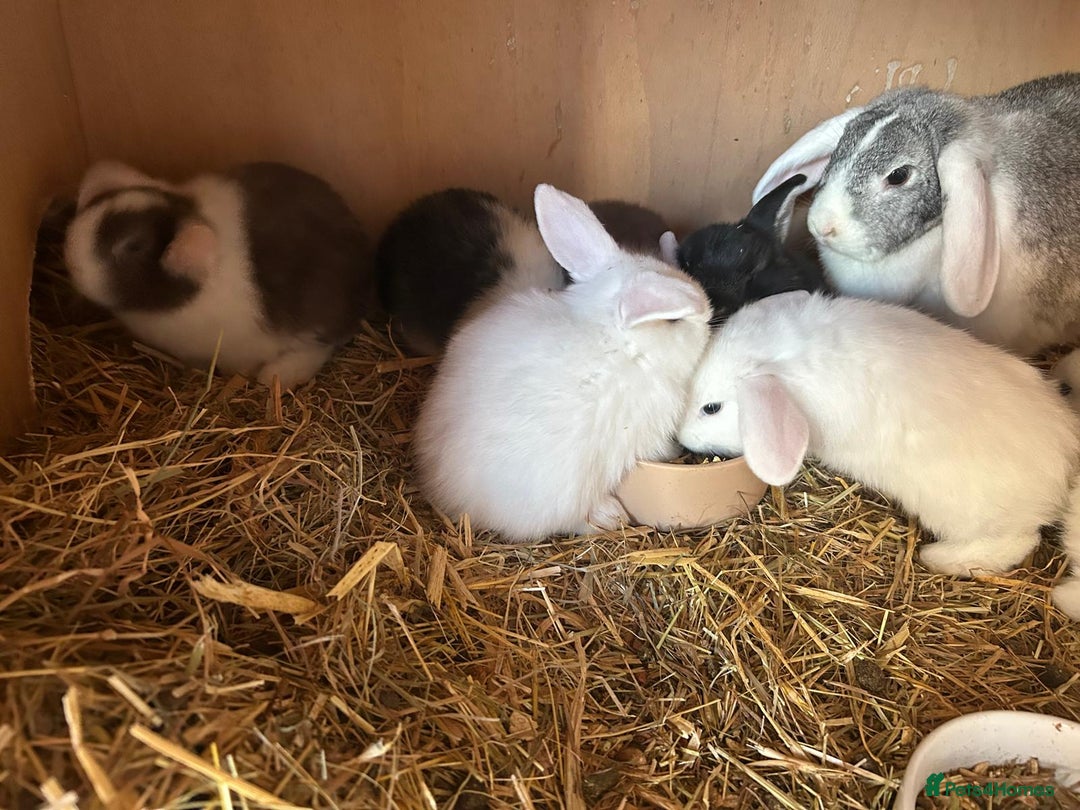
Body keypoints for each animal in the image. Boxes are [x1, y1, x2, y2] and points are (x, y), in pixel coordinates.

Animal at [678, 289, 1080, 619]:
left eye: (711, 408)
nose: (680, 436)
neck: (789, 359)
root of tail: (1064, 457)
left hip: (968, 516)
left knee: (1016, 542)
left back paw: (938, 558)